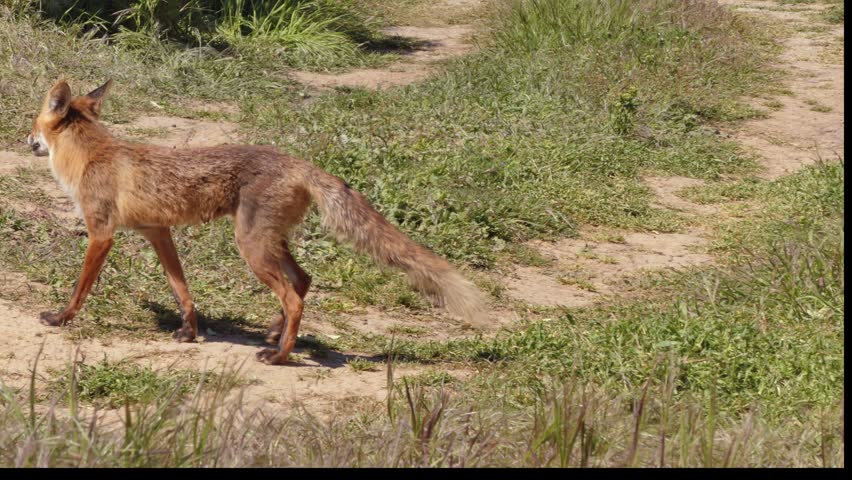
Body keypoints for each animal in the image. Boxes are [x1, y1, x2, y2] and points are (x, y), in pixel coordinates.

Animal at [25, 79, 487, 365]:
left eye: (32, 123)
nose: (23, 139)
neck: (91, 156)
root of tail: (300, 162)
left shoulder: (102, 234)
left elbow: (81, 287)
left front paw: (61, 318)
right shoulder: (158, 233)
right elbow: (182, 289)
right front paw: (189, 332)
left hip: (250, 246)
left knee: (295, 296)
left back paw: (280, 356)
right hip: (268, 242)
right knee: (304, 280)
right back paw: (274, 335)